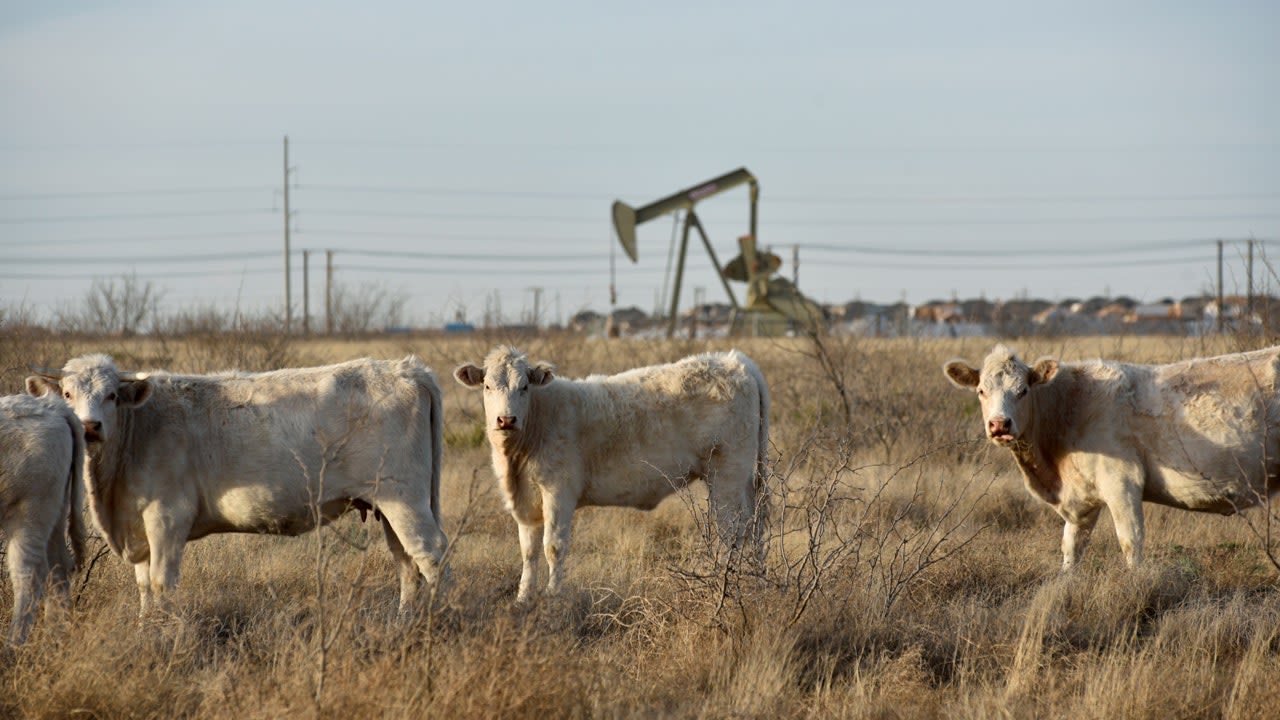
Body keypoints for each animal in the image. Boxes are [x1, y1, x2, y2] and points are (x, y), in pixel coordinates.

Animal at [0, 392, 87, 645]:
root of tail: (54, 407)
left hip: (28, 516)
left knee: (28, 577)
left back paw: (12, 645)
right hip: (54, 515)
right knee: (58, 570)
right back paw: (55, 639)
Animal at [24, 353, 450, 609]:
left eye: (112, 395)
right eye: (67, 393)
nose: (89, 426)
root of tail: (407, 368)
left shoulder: (167, 518)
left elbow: (161, 585)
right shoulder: (138, 529)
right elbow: (144, 588)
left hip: (403, 498)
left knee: (431, 555)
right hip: (390, 504)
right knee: (407, 562)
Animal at [942, 340, 1280, 566]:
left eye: (1023, 391)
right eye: (981, 391)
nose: (999, 424)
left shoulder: (1122, 484)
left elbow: (1131, 543)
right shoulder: (1082, 501)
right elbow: (1071, 549)